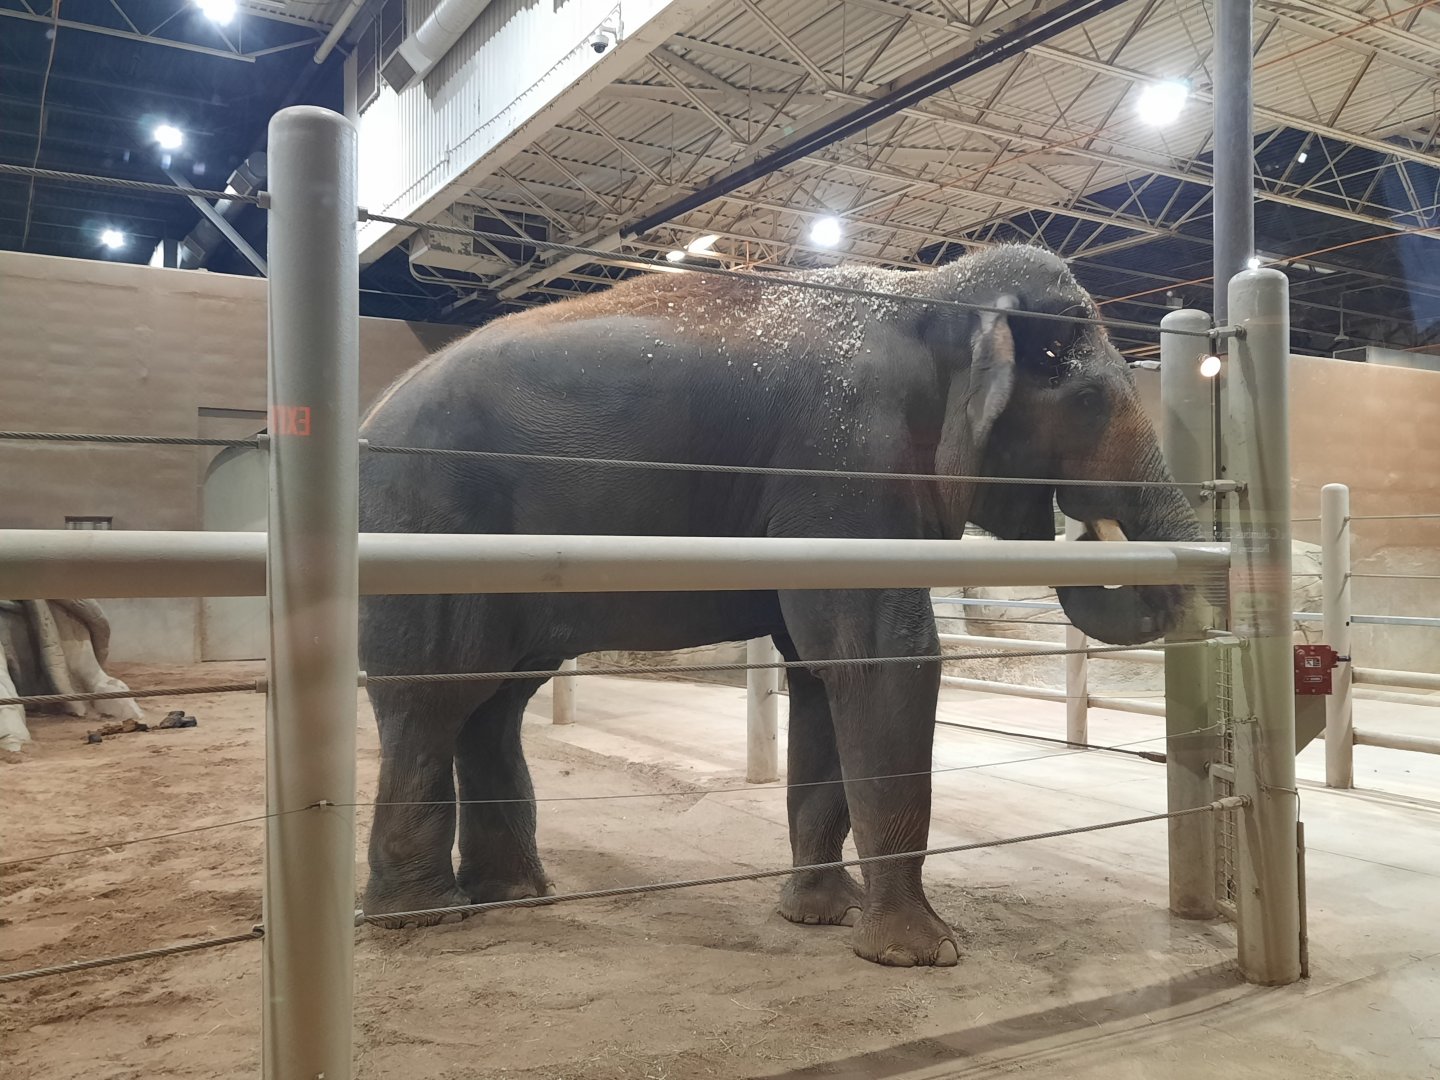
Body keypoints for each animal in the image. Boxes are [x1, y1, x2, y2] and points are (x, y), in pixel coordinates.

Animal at [357, 244, 1202, 967]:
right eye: (1089, 398)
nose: (1085, 524)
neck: (935, 286)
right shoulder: (846, 461)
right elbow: (883, 657)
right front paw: (923, 954)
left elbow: (821, 674)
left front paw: (824, 915)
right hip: (429, 526)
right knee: (433, 698)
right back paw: (425, 919)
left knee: (494, 701)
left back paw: (514, 897)